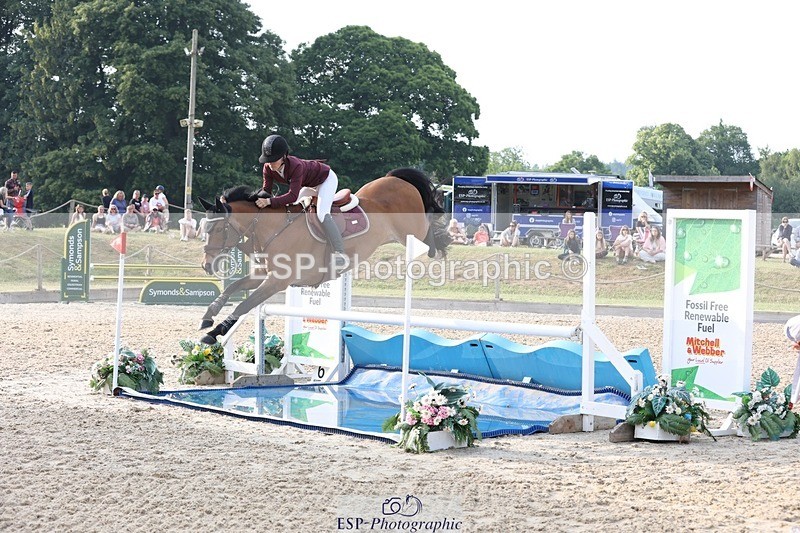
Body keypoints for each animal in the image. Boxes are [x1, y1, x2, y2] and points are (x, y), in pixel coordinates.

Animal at [196, 167, 449, 344]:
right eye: (203, 228)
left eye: (217, 229)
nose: (207, 266)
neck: (273, 228)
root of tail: (398, 180)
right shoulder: (263, 274)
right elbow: (233, 287)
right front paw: (209, 315)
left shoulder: (278, 281)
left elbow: (244, 305)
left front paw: (214, 332)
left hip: (412, 230)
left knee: (429, 229)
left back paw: (440, 242)